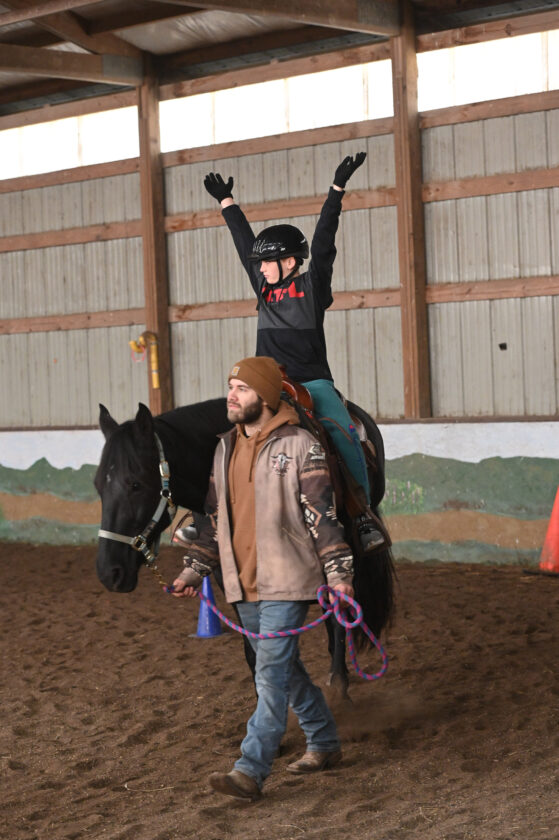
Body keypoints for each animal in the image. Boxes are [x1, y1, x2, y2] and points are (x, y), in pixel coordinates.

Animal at [94, 396, 395, 696]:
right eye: (98, 485)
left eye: (135, 484)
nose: (109, 573)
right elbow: (255, 647)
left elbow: (332, 612)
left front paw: (337, 684)